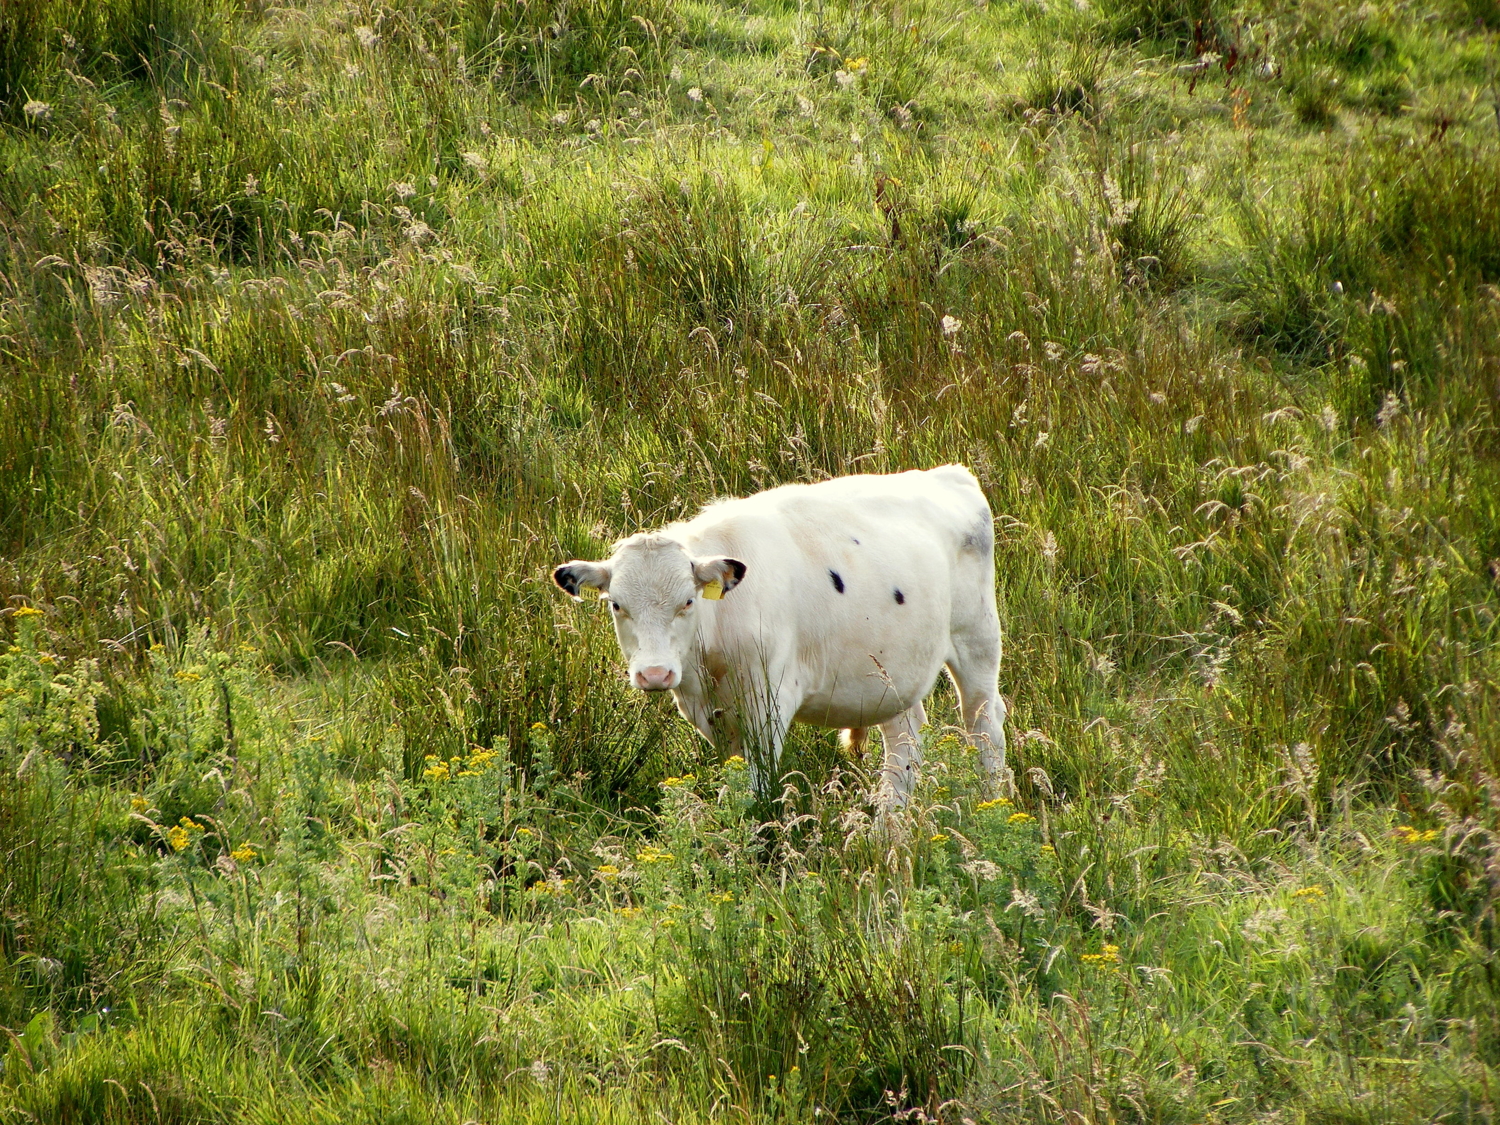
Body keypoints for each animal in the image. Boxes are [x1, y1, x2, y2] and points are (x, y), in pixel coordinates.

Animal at [552, 468, 1008, 810]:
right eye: (616, 605)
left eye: (688, 601)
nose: (654, 674)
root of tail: (947, 474)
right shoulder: (712, 714)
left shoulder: (769, 704)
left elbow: (758, 789)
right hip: (891, 671)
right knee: (905, 741)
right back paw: (887, 828)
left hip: (978, 640)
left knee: (984, 723)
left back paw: (990, 802)